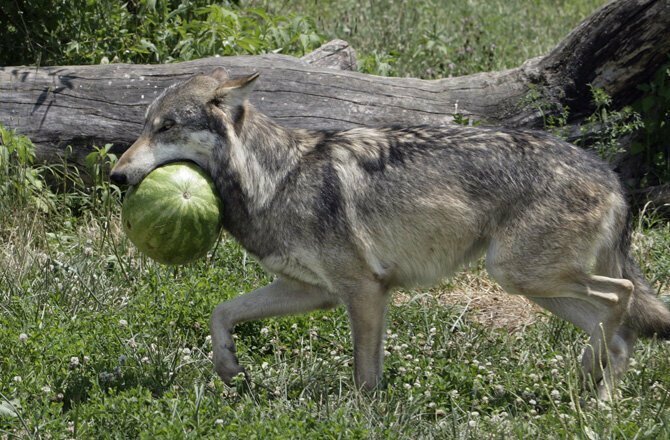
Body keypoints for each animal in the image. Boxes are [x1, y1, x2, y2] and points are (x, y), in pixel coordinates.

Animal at [110, 68, 670, 398]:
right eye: (144, 125)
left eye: (165, 128)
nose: (116, 176)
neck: (276, 177)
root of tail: (609, 175)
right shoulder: (312, 291)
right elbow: (221, 311)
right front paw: (227, 368)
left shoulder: (364, 290)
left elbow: (364, 376)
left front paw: (362, 418)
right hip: (533, 284)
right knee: (620, 336)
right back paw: (595, 397)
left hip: (521, 275)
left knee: (620, 298)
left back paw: (594, 387)